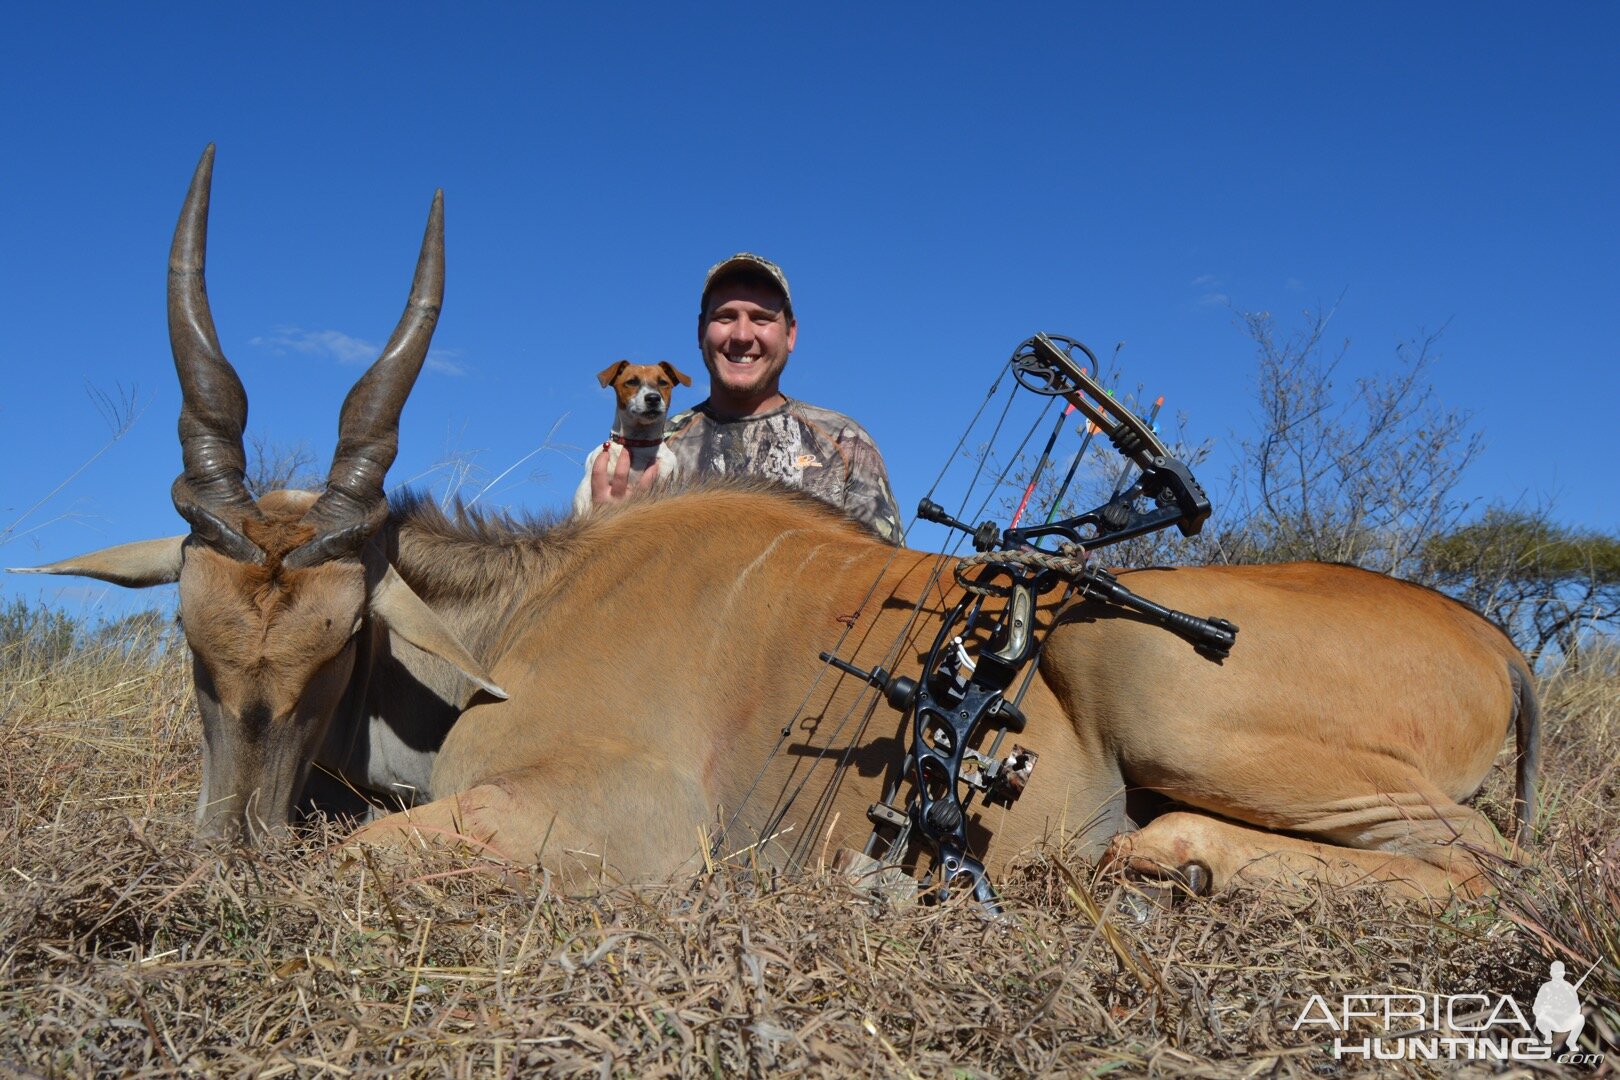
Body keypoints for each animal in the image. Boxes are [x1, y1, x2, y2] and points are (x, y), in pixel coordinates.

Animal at [573, 361, 693, 518]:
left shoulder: (667, 466)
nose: (653, 398)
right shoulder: (588, 485)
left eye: (663, 382)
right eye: (631, 382)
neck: (639, 443)